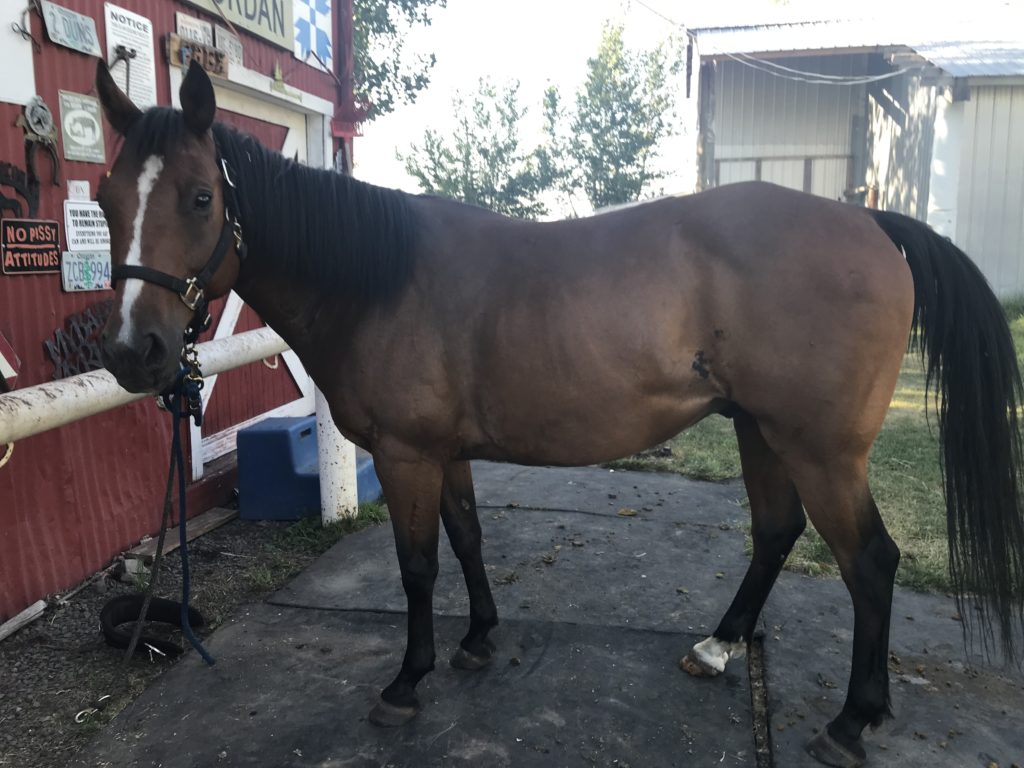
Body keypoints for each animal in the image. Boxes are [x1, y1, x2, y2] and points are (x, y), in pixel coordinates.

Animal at [92, 61, 1019, 768]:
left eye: (201, 198)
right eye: (105, 198)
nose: (136, 352)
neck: (379, 280)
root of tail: (869, 218)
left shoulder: (407, 454)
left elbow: (418, 567)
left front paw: (407, 681)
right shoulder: (446, 452)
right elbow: (467, 539)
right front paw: (476, 640)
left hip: (820, 449)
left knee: (869, 562)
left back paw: (851, 722)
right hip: (760, 430)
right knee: (776, 532)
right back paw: (718, 647)